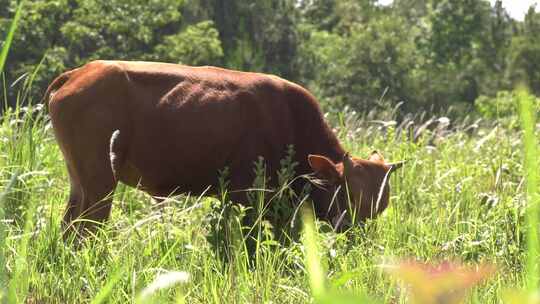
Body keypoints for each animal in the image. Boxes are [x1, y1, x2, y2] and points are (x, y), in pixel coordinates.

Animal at [45, 60, 400, 235]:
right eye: (348, 196)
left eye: (380, 206)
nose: (357, 239)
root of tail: (81, 72)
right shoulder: (248, 198)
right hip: (99, 183)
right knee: (85, 229)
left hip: (80, 182)